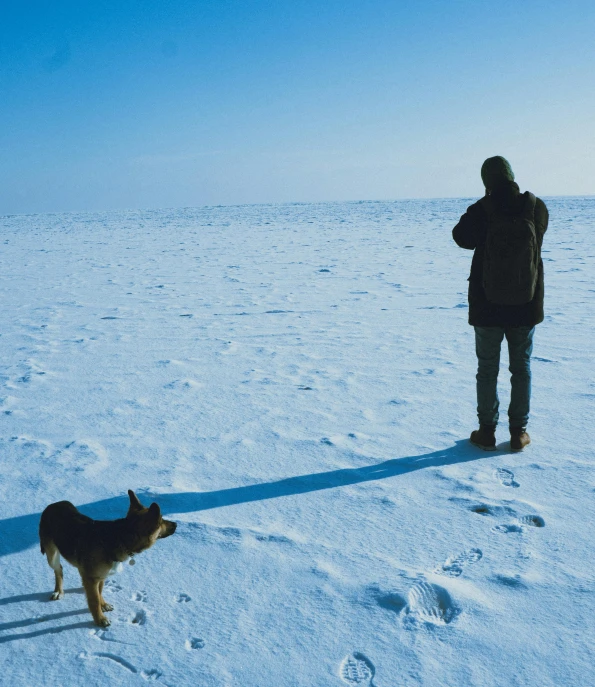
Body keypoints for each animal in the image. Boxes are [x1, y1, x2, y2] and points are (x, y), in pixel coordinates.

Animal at [38, 490, 175, 628]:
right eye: (162, 520)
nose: (176, 524)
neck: (121, 537)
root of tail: (53, 505)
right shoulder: (92, 577)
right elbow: (94, 600)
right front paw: (100, 619)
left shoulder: (101, 576)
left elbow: (99, 593)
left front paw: (103, 605)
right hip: (52, 555)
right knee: (59, 569)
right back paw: (58, 591)